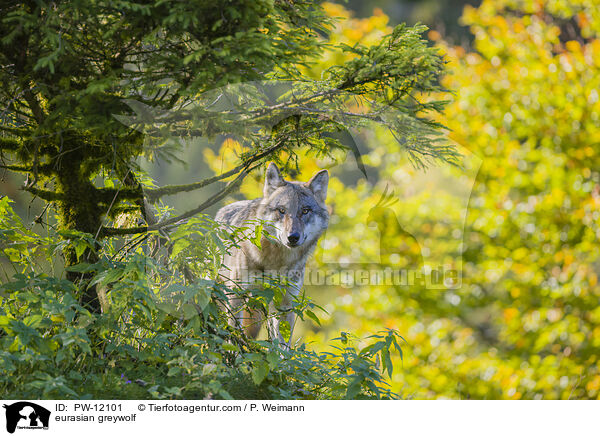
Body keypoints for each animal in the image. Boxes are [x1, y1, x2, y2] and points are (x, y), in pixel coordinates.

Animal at [214, 162, 328, 346]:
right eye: (281, 210)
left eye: (305, 211)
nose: (293, 237)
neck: (276, 261)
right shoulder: (237, 293)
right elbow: (235, 334)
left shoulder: (286, 303)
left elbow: (282, 345)